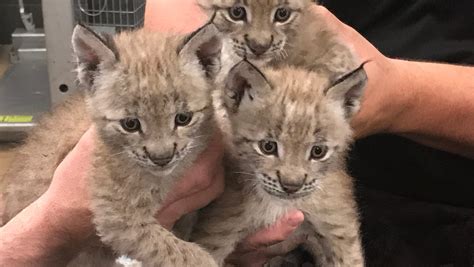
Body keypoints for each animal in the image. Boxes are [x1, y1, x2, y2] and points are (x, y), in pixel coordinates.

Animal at [0, 23, 223, 267]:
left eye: (183, 118)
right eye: (130, 124)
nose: (162, 158)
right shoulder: (117, 217)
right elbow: (170, 247)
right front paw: (204, 259)